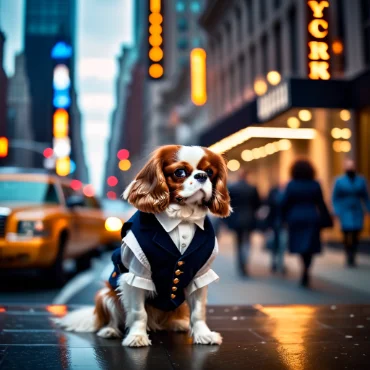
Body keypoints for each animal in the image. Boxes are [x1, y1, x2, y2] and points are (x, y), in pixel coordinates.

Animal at [55, 145, 230, 346]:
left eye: (209, 172)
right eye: (179, 172)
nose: (201, 176)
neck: (183, 217)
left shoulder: (201, 275)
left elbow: (198, 311)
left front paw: (203, 334)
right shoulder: (137, 274)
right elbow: (139, 312)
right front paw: (137, 337)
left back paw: (177, 324)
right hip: (105, 294)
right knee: (114, 317)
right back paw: (110, 330)